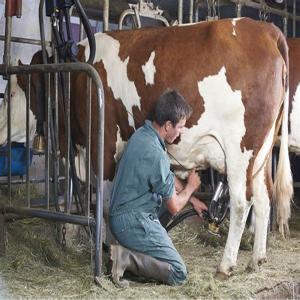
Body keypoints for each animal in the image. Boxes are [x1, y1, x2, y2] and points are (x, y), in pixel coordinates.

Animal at [17, 18, 292, 276]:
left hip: (240, 149)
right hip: (261, 154)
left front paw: (109, 250)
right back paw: (257, 260)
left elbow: (105, 201)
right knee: (264, 197)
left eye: (17, 89)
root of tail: (267, 30)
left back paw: (225, 266)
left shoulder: (102, 143)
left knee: (241, 201)